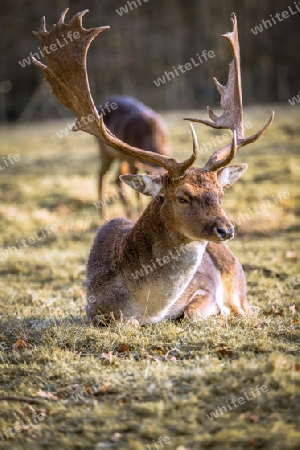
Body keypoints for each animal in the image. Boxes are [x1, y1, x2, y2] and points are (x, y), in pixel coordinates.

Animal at [32, 9, 274, 324]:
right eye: (182, 197)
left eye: (220, 194)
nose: (226, 230)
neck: (148, 307)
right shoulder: (93, 309)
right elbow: (129, 322)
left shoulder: (206, 287)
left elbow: (192, 313)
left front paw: (217, 312)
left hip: (238, 279)